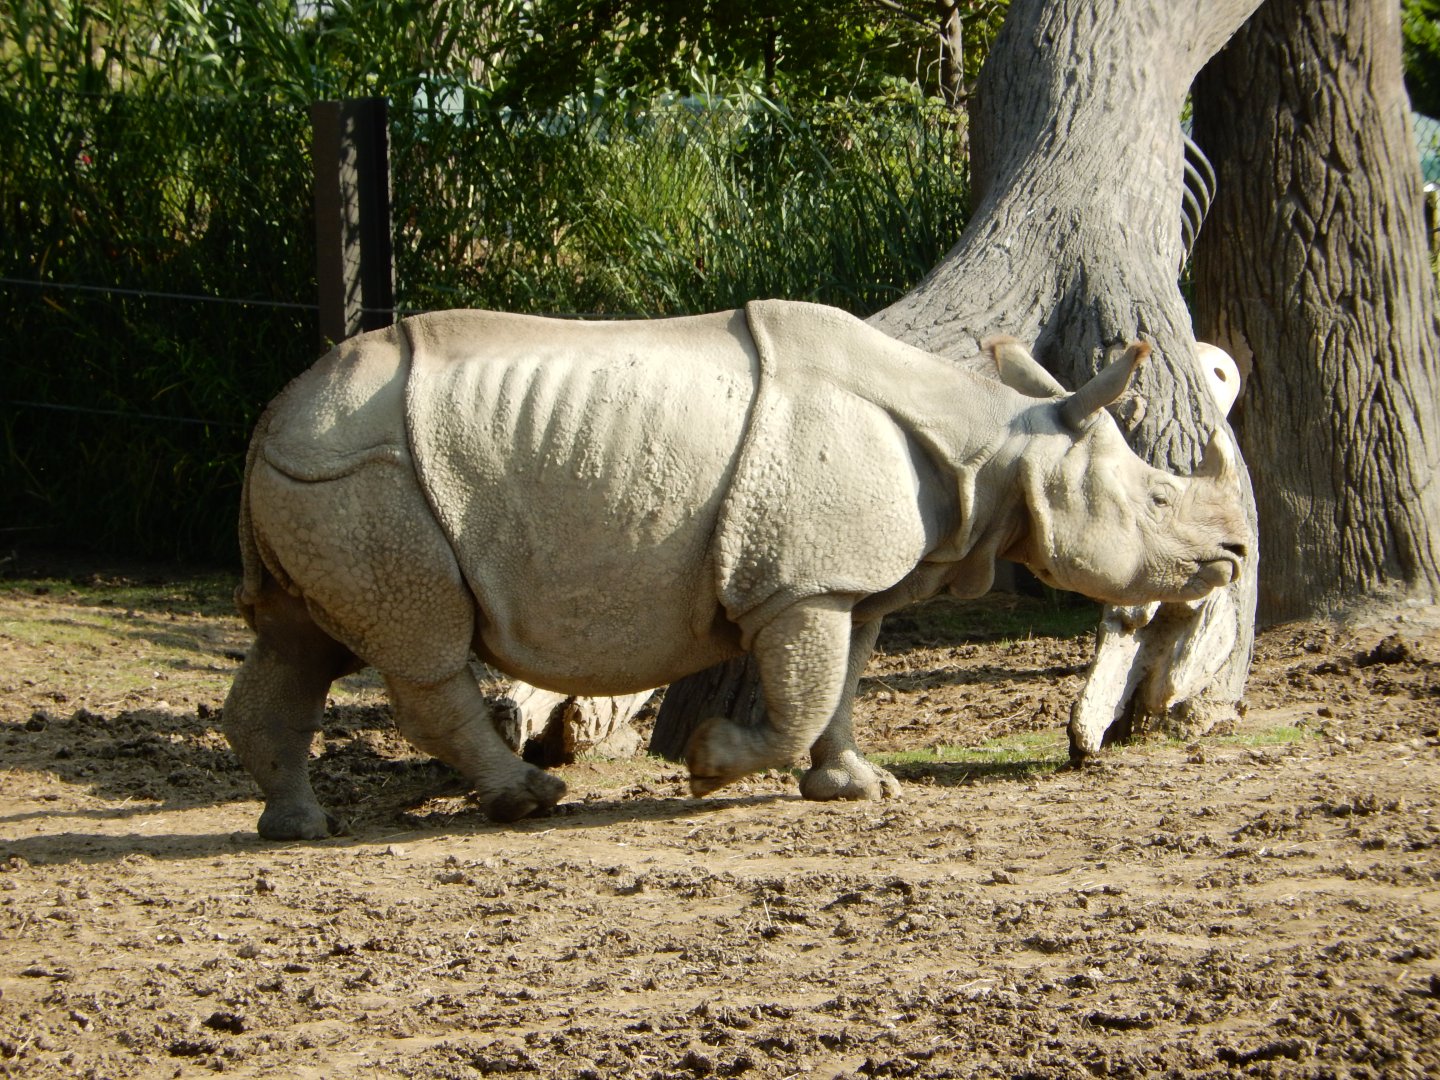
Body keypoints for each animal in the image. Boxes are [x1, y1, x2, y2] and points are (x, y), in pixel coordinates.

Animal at [223, 300, 1248, 839]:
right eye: (1160, 500)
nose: (1232, 558)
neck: (997, 445)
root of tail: (274, 412)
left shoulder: (845, 583)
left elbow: (843, 685)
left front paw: (858, 788)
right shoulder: (803, 581)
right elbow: (804, 695)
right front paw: (712, 768)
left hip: (321, 472)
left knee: (297, 640)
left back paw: (298, 826)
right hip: (369, 474)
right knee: (421, 645)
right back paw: (530, 800)